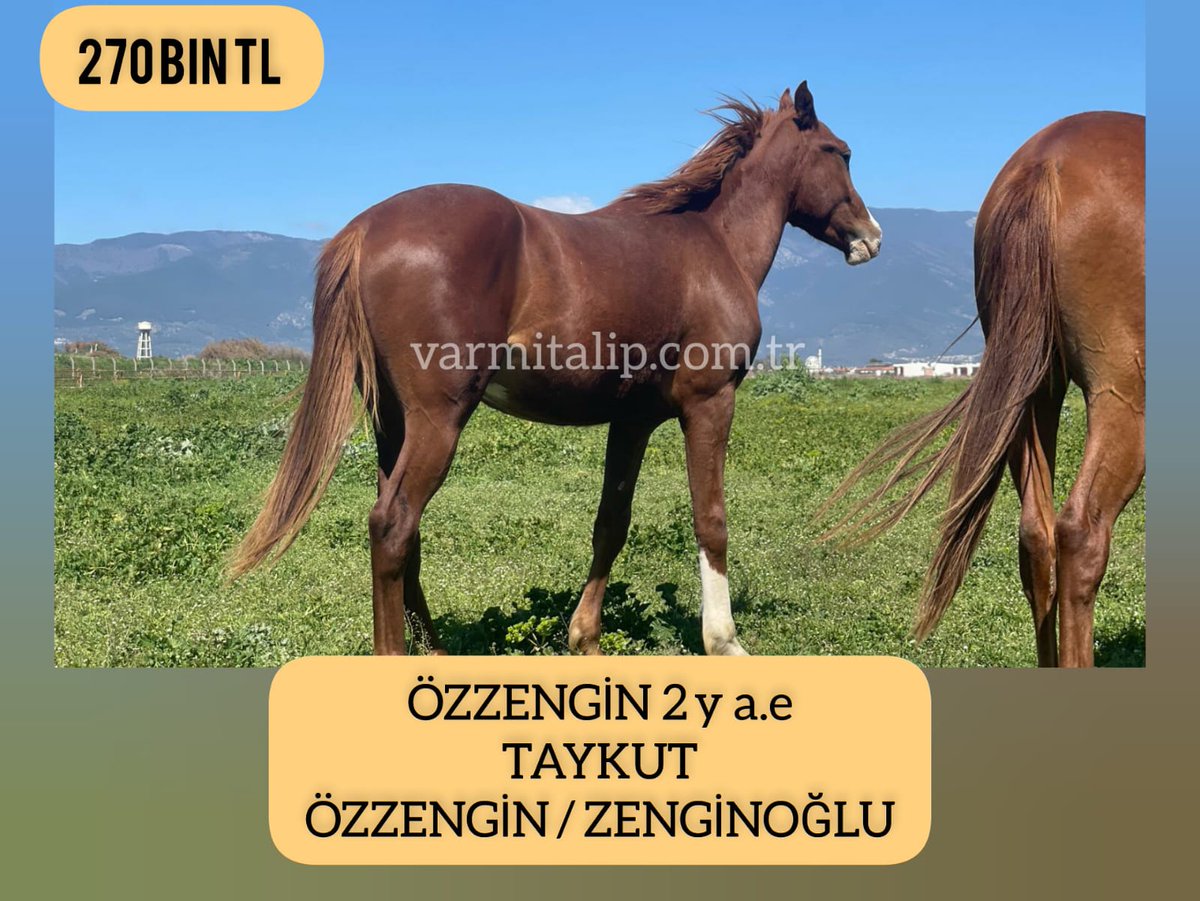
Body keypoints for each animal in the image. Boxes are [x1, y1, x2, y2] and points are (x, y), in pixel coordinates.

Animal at [229, 82, 882, 655]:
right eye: (841, 152)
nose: (871, 236)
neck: (712, 245)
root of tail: (366, 228)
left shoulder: (633, 421)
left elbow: (611, 523)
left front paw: (584, 637)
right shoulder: (709, 402)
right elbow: (711, 519)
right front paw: (723, 641)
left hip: (393, 422)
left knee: (402, 532)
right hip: (438, 420)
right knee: (393, 523)